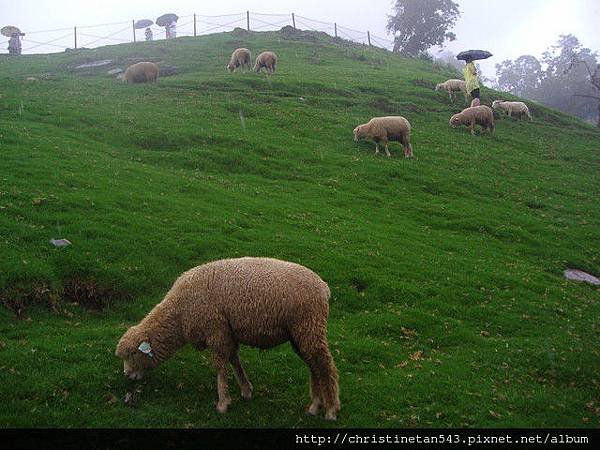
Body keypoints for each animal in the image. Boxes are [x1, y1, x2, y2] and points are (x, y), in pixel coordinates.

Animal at [116, 256, 342, 422]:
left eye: (133, 353)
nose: (127, 375)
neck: (179, 314)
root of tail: (324, 288)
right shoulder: (228, 332)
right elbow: (234, 360)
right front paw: (246, 390)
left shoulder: (216, 330)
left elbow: (220, 366)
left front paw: (223, 403)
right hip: (301, 333)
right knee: (314, 365)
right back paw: (315, 406)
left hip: (309, 326)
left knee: (324, 364)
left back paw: (331, 409)